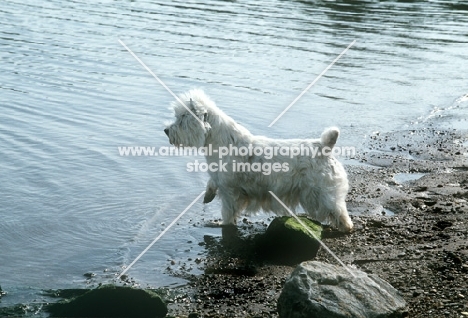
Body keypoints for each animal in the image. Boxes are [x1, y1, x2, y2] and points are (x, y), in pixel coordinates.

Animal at [166, 88, 352, 232]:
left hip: (322, 193)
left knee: (339, 211)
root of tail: (324, 146)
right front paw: (207, 196)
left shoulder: (230, 191)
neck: (220, 141)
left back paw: (344, 227)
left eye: (182, 118)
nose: (166, 130)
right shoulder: (219, 179)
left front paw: (221, 223)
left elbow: (228, 212)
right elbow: (211, 183)